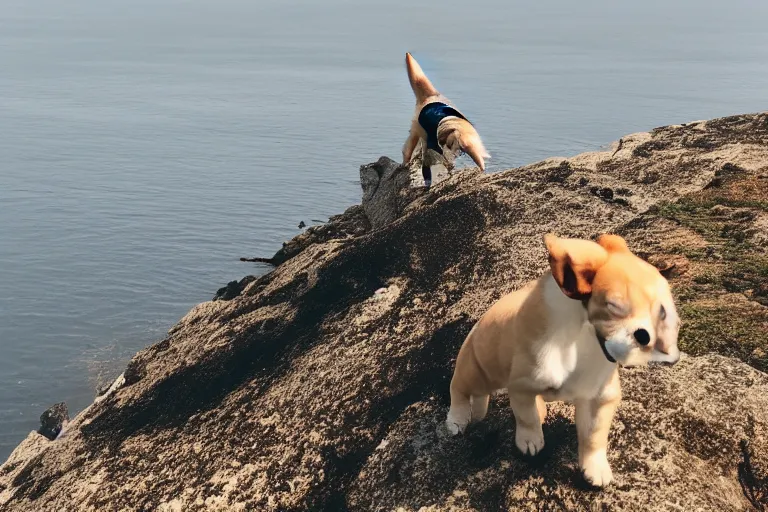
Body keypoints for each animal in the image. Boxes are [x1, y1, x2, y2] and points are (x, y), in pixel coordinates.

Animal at [448, 234, 680, 486]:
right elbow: (526, 419)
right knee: (459, 388)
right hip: (478, 372)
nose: (646, 338)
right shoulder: (522, 385)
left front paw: (595, 469)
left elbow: (594, 436)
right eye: (614, 306)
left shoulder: (601, 397)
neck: (583, 341)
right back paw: (457, 420)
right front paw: (530, 442)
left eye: (662, 312)